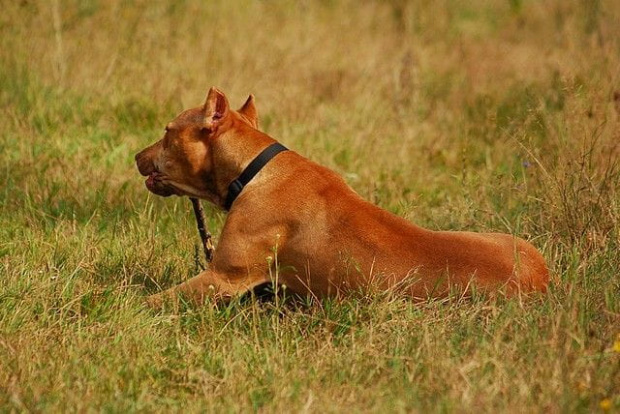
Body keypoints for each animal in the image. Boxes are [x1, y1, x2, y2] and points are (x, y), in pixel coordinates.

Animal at [134, 87, 548, 308]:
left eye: (167, 131)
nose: (137, 156)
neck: (253, 167)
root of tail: (543, 280)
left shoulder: (221, 278)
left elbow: (150, 301)